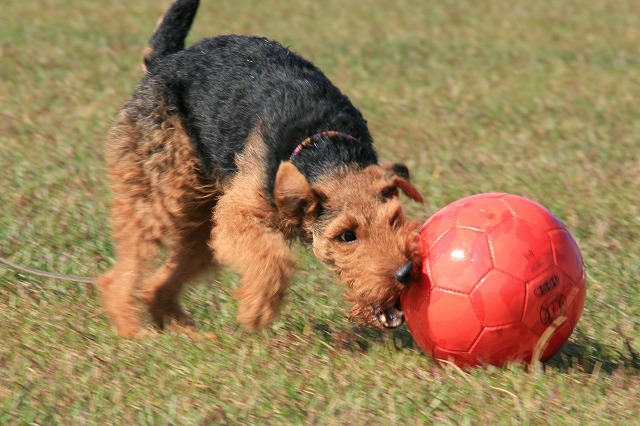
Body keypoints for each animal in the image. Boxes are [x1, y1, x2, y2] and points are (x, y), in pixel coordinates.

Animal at [96, 0, 424, 340]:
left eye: (395, 219)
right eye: (347, 236)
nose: (405, 273)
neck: (324, 146)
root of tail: (165, 60)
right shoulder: (238, 214)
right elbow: (273, 260)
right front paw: (257, 309)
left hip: (204, 222)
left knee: (158, 284)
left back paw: (188, 334)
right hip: (156, 194)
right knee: (121, 274)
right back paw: (133, 330)